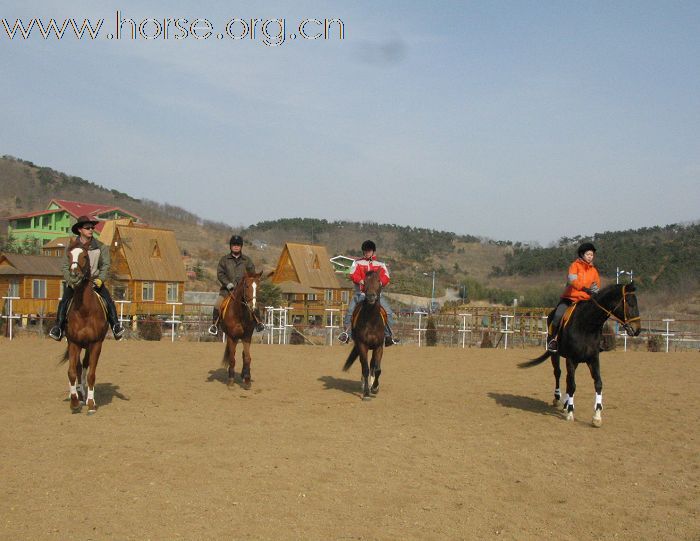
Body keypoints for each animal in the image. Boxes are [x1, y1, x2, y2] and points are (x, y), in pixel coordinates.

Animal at [59, 240, 108, 414]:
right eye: (68, 255)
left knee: (85, 366)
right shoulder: (74, 343)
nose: (74, 275)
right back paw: (79, 394)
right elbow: (72, 372)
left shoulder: (96, 344)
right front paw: (74, 401)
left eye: (85, 256)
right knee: (79, 367)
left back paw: (85, 395)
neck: (85, 311)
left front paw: (91, 403)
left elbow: (91, 374)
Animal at [342, 270, 386, 400]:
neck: (371, 321)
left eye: (378, 280)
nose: (371, 296)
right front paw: (366, 393)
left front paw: (375, 388)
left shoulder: (379, 346)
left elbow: (377, 369)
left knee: (372, 365)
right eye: (365, 281)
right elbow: (365, 368)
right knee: (364, 364)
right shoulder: (362, 345)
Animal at [516, 282, 644, 426]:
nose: (638, 329)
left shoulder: (593, 359)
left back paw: (566, 404)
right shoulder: (571, 359)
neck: (587, 325)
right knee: (558, 373)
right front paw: (570, 412)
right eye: (630, 303)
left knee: (567, 378)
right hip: (556, 354)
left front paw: (597, 416)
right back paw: (558, 398)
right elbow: (572, 385)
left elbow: (598, 383)